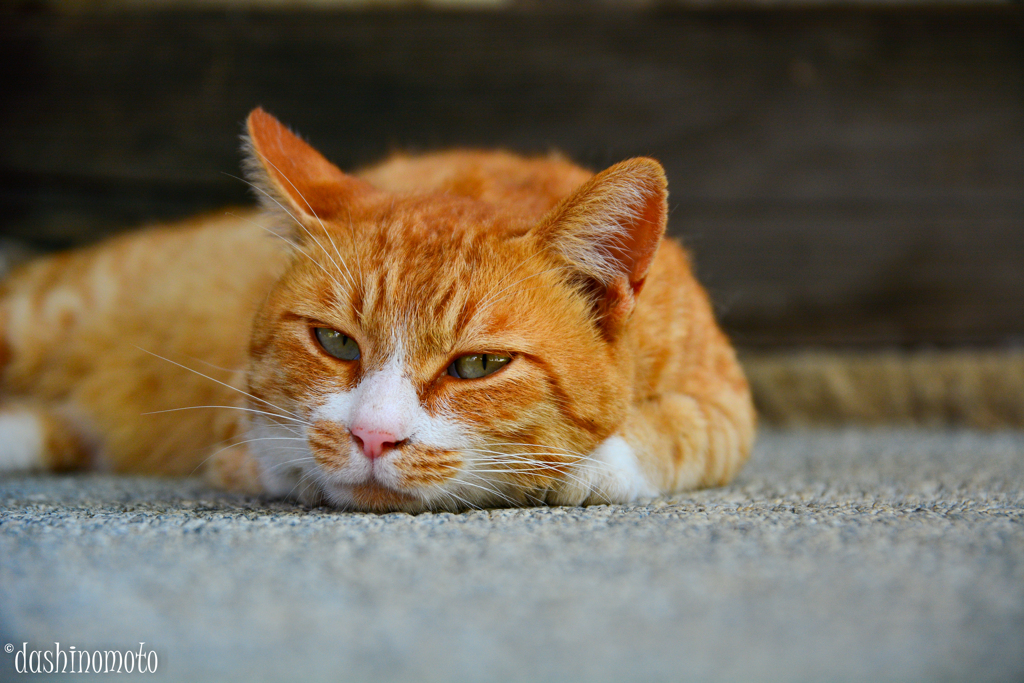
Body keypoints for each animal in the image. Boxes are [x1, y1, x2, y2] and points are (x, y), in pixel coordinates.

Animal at [0, 108, 753, 511]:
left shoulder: (723, 399)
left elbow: (686, 430)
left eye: (479, 364)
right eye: (335, 343)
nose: (372, 439)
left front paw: (589, 463)